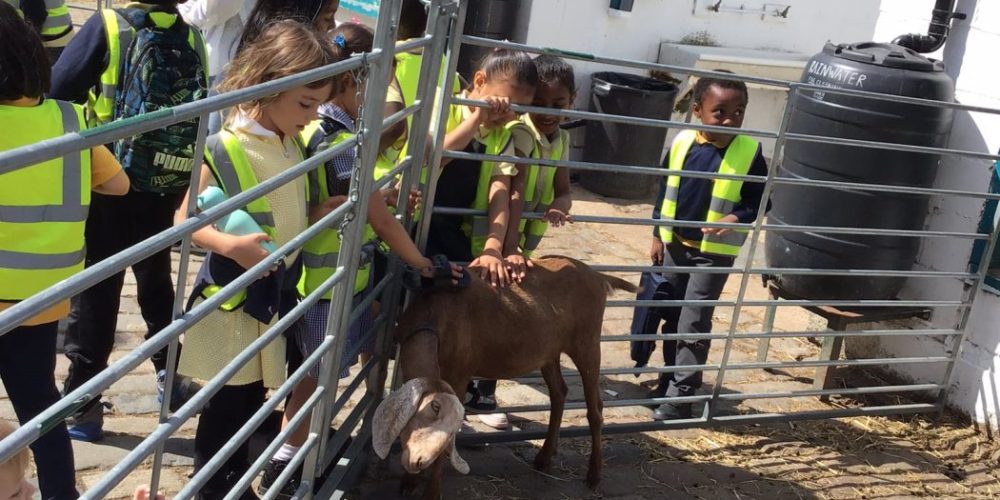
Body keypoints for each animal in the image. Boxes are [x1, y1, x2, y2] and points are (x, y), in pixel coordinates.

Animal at [372, 255, 637, 499]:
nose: (418, 461)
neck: (433, 317)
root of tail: (599, 277)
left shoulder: (459, 373)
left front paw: (431, 492)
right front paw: (408, 483)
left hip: (588, 342)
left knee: (595, 409)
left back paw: (594, 475)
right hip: (548, 351)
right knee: (559, 392)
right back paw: (544, 457)